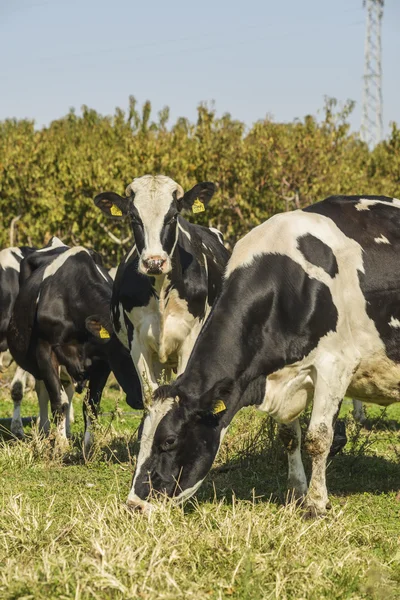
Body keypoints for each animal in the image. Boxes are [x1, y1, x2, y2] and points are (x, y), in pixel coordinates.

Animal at [7, 241, 142, 448]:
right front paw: (61, 444)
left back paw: (67, 430)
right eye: (127, 354)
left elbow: (91, 404)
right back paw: (45, 429)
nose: (142, 399)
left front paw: (88, 444)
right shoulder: (45, 350)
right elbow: (58, 400)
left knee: (67, 389)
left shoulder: (103, 361)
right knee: (42, 389)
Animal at [94, 173, 230, 398]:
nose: (154, 262)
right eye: (134, 218)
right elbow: (151, 394)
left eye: (173, 217)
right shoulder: (138, 343)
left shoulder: (190, 340)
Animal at [126, 195, 400, 516]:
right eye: (142, 437)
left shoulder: (335, 364)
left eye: (169, 441)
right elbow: (290, 438)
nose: (134, 505)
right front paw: (296, 493)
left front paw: (316, 504)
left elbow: (318, 438)